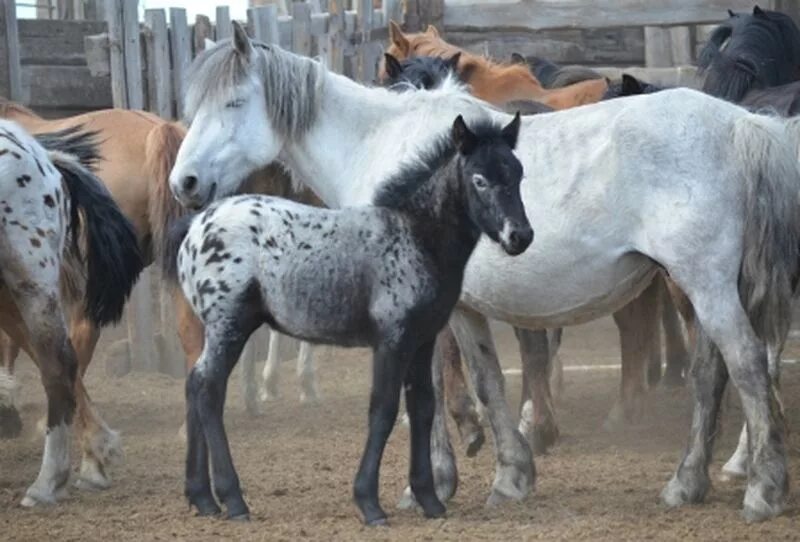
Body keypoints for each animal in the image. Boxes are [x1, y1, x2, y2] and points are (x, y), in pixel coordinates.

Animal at [167, 107, 532, 528]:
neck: (415, 234)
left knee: (193, 384)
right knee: (208, 389)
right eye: (480, 180)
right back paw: (233, 499)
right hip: (229, 324)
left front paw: (429, 499)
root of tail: (195, 226)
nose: (520, 236)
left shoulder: (422, 339)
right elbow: (383, 409)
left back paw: (202, 497)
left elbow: (422, 407)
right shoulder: (391, 340)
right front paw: (369, 503)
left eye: (518, 173)